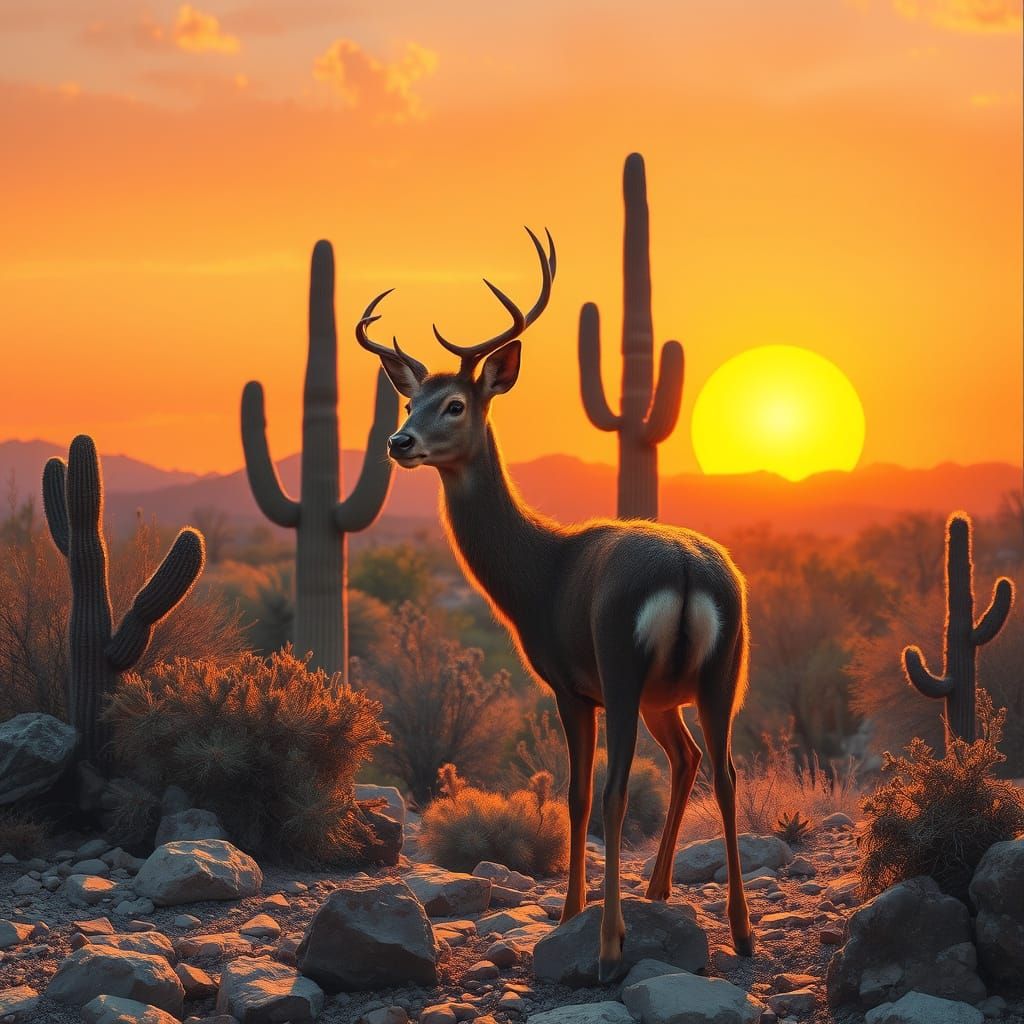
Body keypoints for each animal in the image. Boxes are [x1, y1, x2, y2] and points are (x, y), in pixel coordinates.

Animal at [356, 228, 753, 982]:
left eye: (456, 404)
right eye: (410, 402)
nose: (399, 442)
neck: (538, 570)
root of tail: (688, 572)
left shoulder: (572, 688)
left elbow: (575, 796)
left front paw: (570, 913)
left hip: (627, 676)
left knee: (621, 788)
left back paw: (609, 945)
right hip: (712, 679)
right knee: (713, 769)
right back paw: (727, 927)